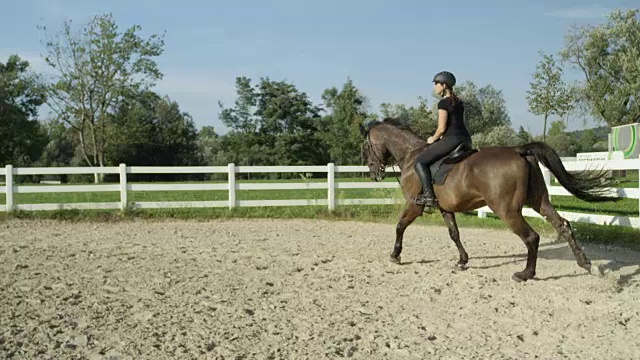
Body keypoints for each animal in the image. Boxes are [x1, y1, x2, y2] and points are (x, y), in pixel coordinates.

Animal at [360, 118, 620, 282]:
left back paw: (525, 274)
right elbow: (454, 233)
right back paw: (586, 264)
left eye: (366, 148)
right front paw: (462, 260)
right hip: (539, 201)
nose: (374, 173)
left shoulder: (415, 205)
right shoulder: (445, 208)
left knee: (531, 237)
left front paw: (395, 255)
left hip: (507, 210)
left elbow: (400, 226)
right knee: (563, 225)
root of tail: (519, 150)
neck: (411, 156)